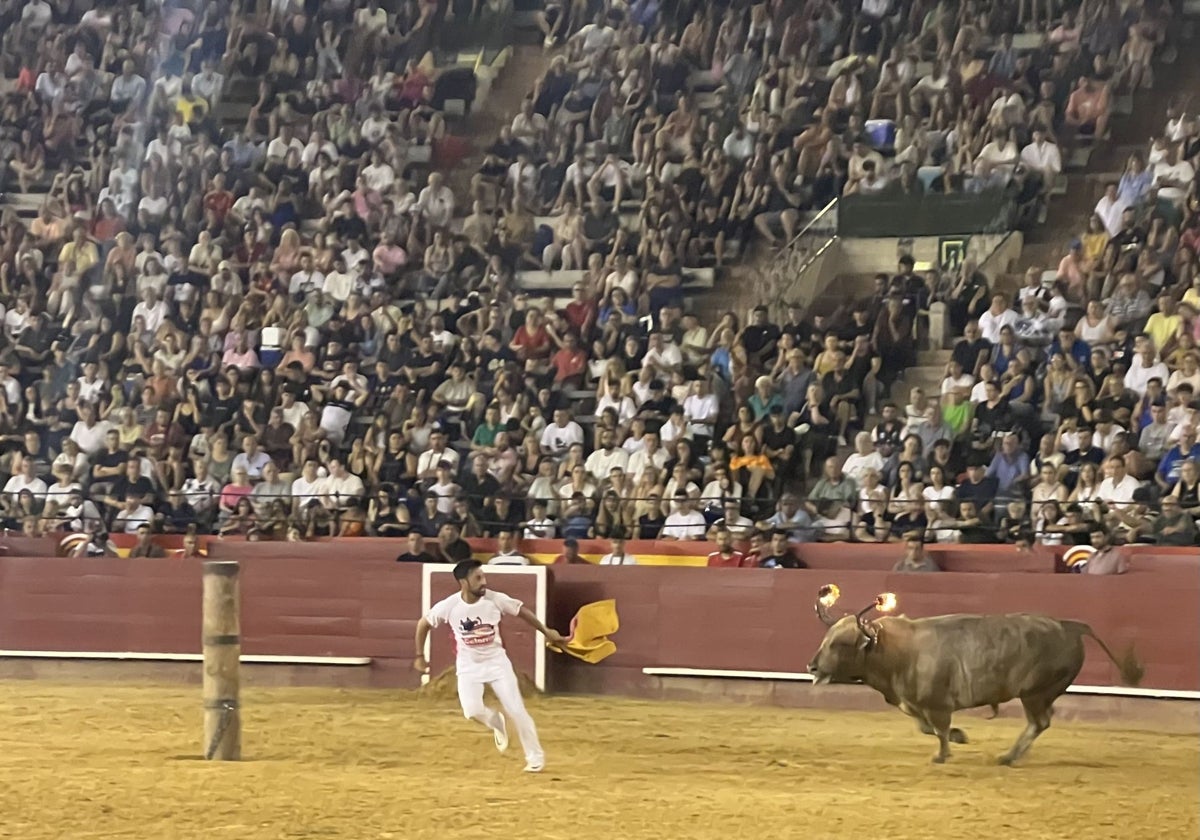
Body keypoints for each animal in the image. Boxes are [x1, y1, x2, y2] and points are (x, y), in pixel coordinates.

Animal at [806, 588, 1142, 763]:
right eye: (827, 639)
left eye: (840, 643)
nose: (812, 667)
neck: (897, 651)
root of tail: (1069, 625)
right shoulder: (916, 704)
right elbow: (927, 728)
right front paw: (960, 736)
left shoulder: (938, 705)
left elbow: (939, 729)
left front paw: (942, 755)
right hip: (1039, 694)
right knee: (1042, 721)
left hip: (1034, 693)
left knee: (1039, 722)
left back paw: (1009, 757)